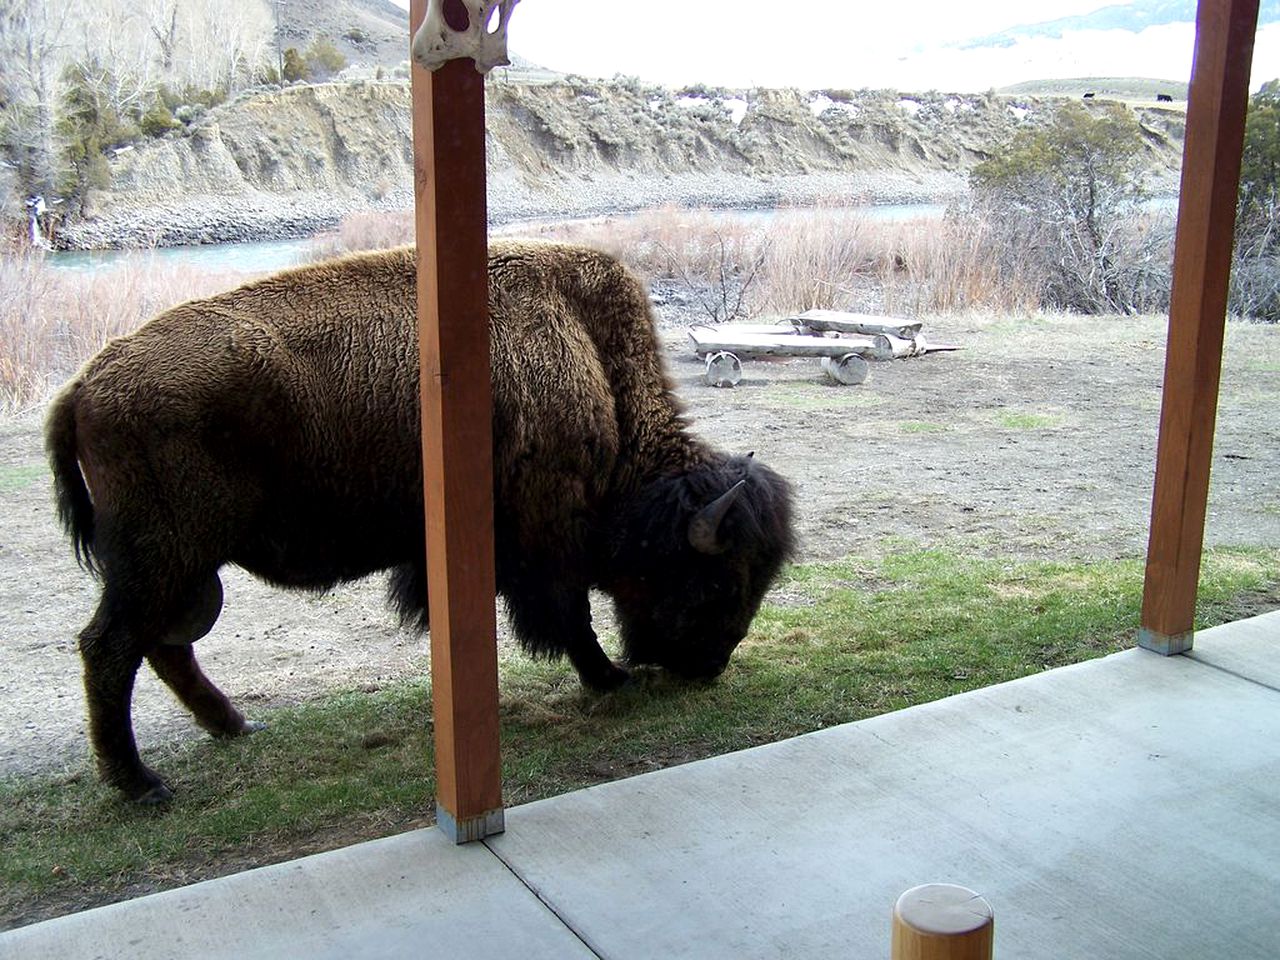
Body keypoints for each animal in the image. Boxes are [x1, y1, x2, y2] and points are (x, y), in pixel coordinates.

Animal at [47, 240, 788, 803]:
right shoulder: (548, 542)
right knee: (111, 647)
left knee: (162, 645)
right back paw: (144, 786)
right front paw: (608, 678)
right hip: (164, 556)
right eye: (718, 581)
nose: (710, 665)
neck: (592, 360)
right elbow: (569, 617)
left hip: (180, 567)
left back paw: (234, 728)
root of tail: (83, 383)